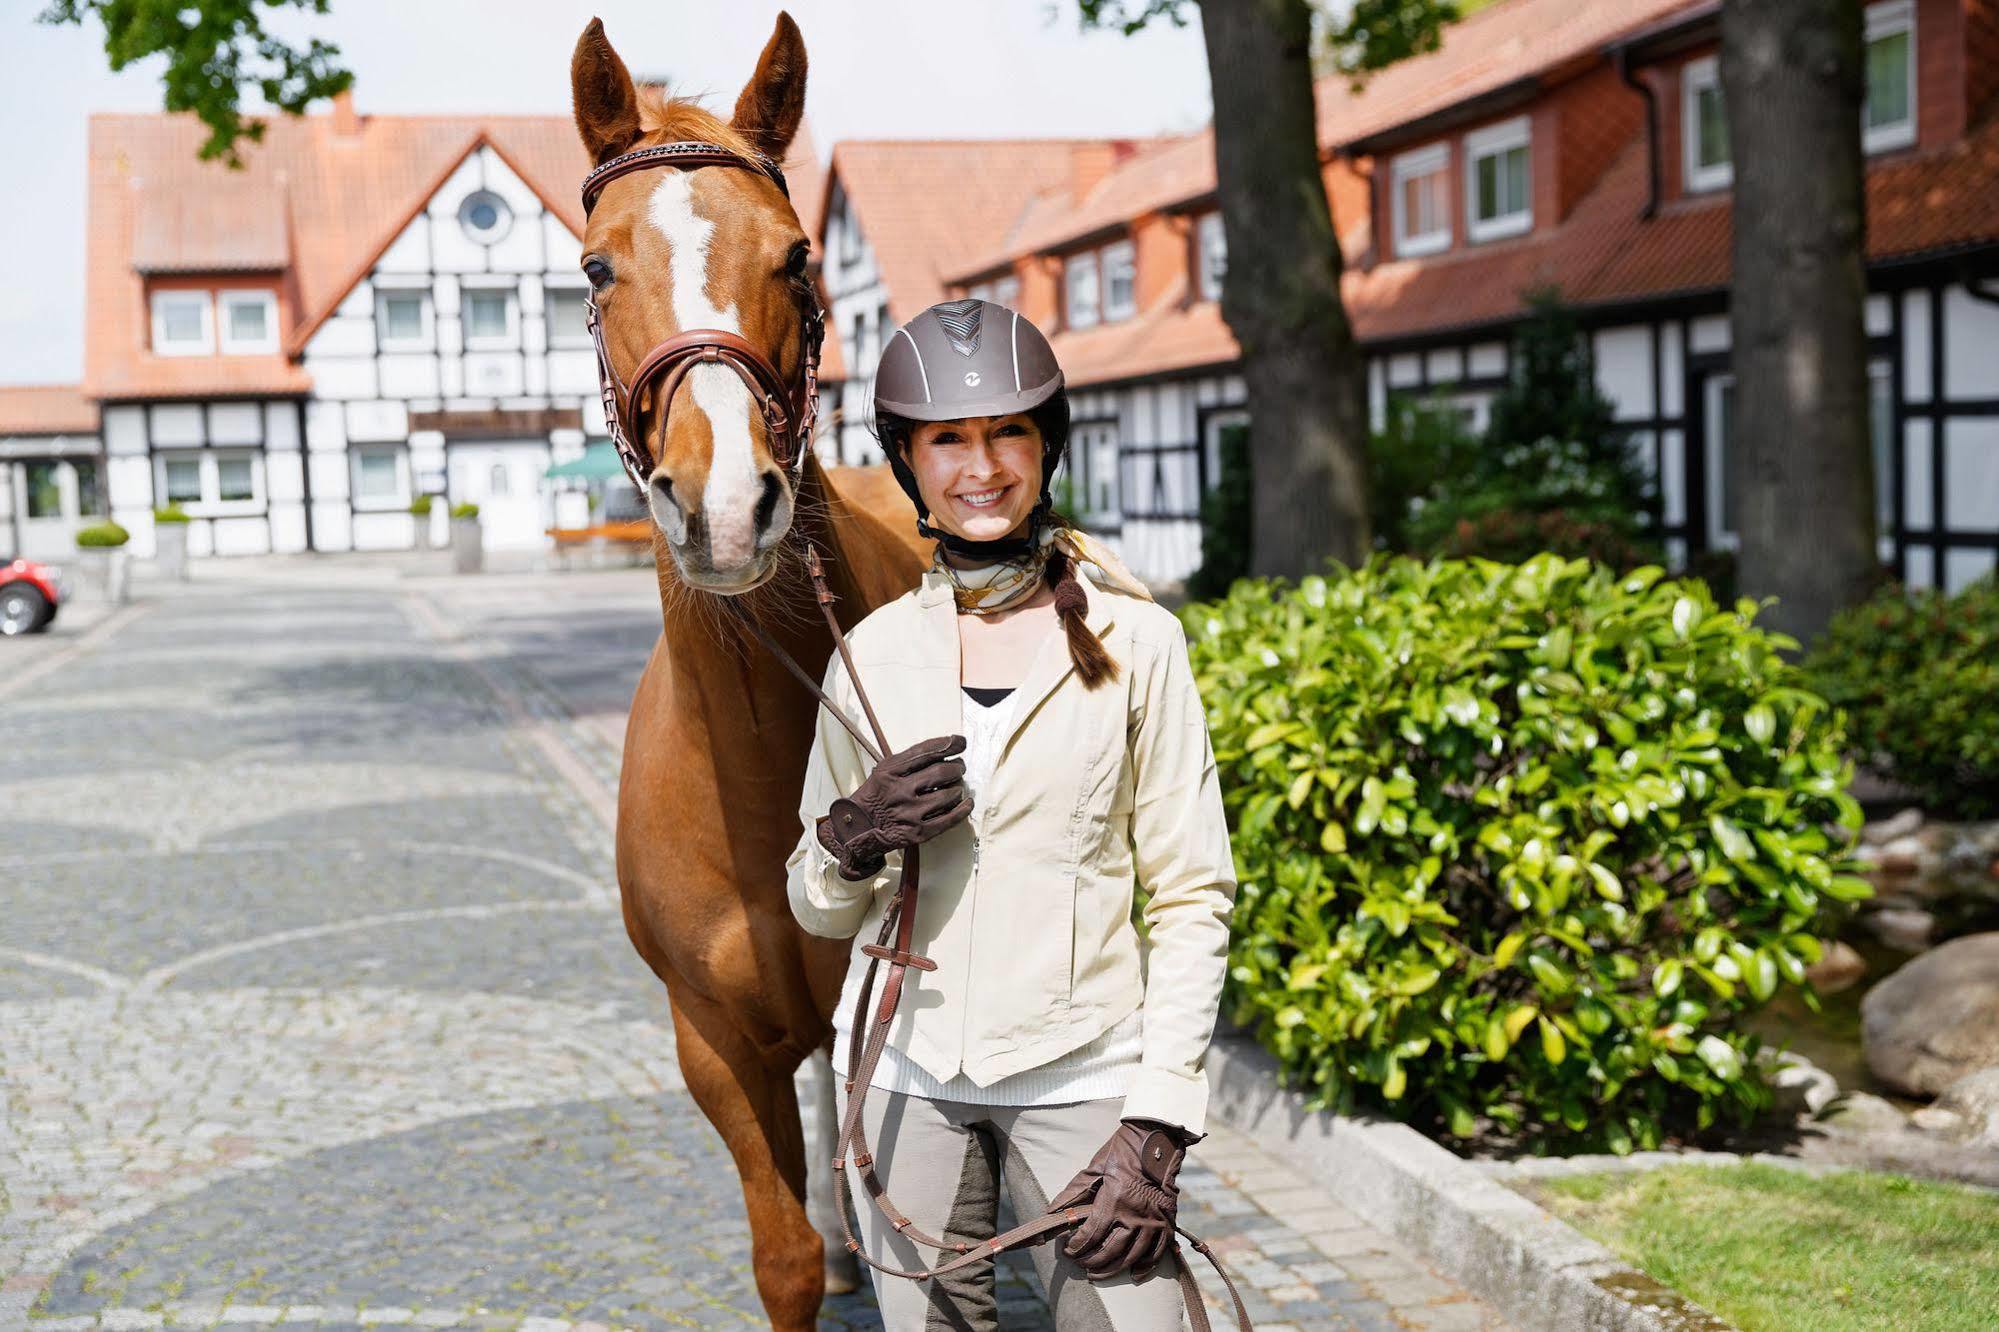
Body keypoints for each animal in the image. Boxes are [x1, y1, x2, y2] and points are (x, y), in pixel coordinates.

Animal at [575, 13, 923, 1328]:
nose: (724, 506)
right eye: (596, 270)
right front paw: (818, 1249)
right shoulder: (714, 1043)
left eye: (796, 257)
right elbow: (782, 1259)